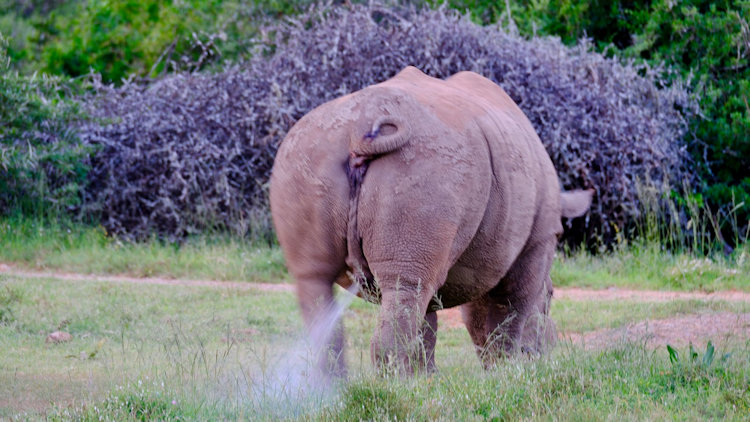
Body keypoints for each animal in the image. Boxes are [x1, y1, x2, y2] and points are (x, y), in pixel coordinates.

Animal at [270, 67, 592, 375]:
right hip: (426, 167)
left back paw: (333, 386)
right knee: (403, 286)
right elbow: (513, 305)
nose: (545, 352)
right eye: (552, 297)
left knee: (316, 281)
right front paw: (509, 370)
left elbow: (433, 320)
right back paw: (391, 385)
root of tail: (357, 130)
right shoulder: (538, 240)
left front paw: (427, 378)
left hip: (303, 157)